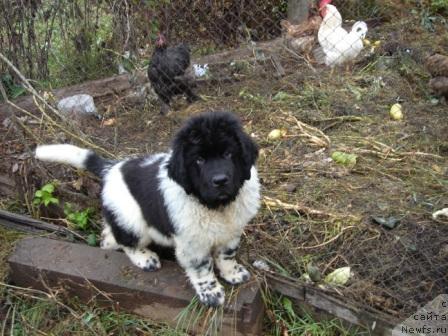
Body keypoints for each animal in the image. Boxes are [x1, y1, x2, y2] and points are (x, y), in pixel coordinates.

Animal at [35, 111, 260, 306]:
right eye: (199, 160)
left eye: (229, 153)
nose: (220, 180)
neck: (215, 206)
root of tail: (112, 168)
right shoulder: (192, 243)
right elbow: (202, 268)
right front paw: (211, 293)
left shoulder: (232, 231)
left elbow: (227, 255)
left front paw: (233, 273)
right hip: (132, 220)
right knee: (127, 241)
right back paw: (145, 258)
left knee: (109, 234)